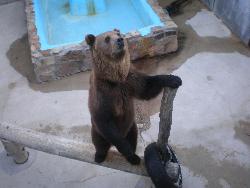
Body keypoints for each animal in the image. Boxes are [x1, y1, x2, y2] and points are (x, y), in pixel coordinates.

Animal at [86, 29, 182, 164]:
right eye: (107, 38)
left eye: (118, 34)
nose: (120, 40)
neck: (115, 79)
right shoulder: (104, 94)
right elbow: (105, 120)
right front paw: (126, 149)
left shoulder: (130, 80)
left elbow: (147, 87)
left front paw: (174, 79)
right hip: (97, 131)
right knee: (100, 142)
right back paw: (100, 156)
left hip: (131, 127)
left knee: (133, 138)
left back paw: (134, 158)